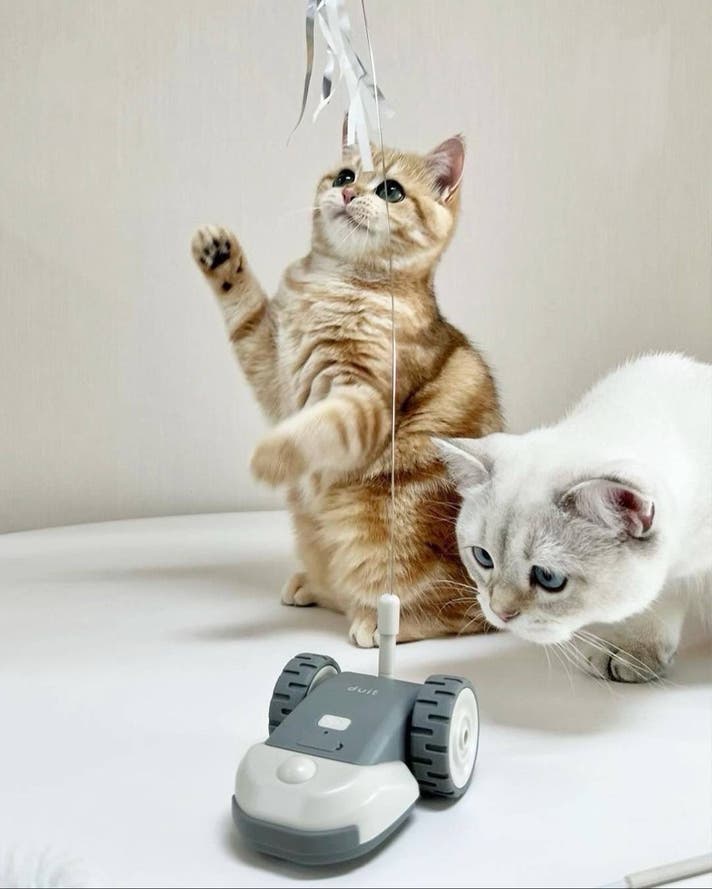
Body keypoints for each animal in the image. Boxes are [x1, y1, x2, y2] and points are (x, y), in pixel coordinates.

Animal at [191, 135, 502, 646]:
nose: (348, 193)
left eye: (392, 190)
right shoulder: (271, 365)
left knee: (464, 615)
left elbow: (312, 429)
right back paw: (314, 585)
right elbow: (247, 311)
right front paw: (220, 256)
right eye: (345, 175)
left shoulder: (364, 402)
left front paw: (267, 457)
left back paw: (375, 619)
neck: (335, 283)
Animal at [437, 353, 712, 681]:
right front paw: (636, 650)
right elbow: (656, 602)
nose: (500, 613)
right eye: (483, 558)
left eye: (549, 578)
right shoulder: (671, 577)